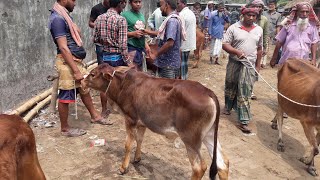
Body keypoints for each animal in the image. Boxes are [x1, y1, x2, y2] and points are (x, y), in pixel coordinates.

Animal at [84, 64, 229, 179]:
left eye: (92, 74)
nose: (82, 82)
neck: (122, 85)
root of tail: (208, 92)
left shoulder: (130, 119)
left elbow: (128, 144)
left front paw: (123, 168)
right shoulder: (141, 122)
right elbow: (139, 139)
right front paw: (137, 158)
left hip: (191, 139)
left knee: (199, 168)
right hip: (209, 135)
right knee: (223, 164)